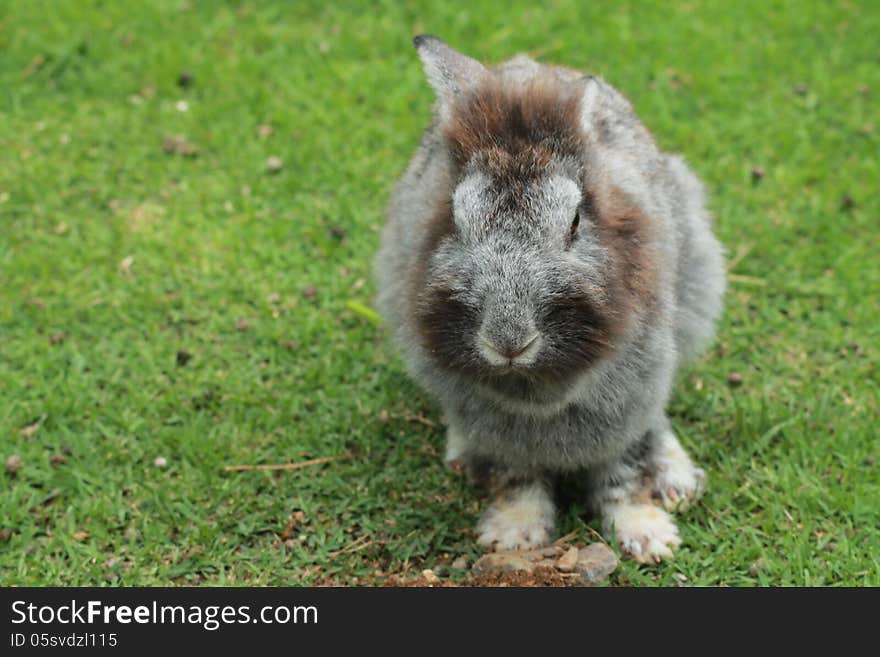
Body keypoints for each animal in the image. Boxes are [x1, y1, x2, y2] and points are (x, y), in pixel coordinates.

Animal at [374, 33, 724, 560]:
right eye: (454, 218)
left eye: (576, 221)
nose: (509, 341)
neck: (532, 381)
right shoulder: (499, 429)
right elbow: (518, 476)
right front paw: (514, 533)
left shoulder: (629, 396)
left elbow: (621, 469)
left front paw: (648, 535)